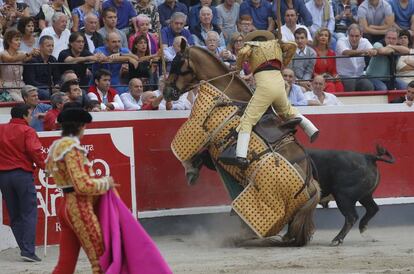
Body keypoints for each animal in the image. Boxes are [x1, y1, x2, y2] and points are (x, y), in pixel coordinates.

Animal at [164, 42, 320, 246]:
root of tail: (311, 184)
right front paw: (193, 170)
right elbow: (202, 157)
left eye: (177, 62)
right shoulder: (214, 152)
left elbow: (187, 151)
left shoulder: (199, 129)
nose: (166, 91)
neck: (227, 93)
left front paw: (190, 171)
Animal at [188, 144, 394, 245]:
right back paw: (364, 230)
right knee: (372, 209)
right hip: (364, 196)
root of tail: (368, 156)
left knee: (351, 216)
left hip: (344, 197)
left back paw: (337, 239)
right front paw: (288, 236)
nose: (195, 158)